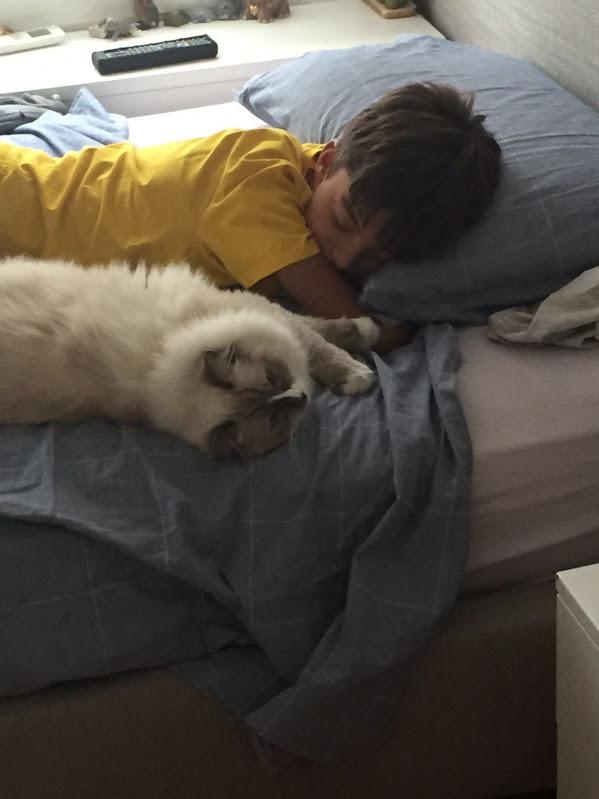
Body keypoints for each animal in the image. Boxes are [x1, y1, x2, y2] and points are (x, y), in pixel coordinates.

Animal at [0, 257, 379, 458]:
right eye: (274, 420)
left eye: (273, 376)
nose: (300, 396)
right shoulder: (275, 320)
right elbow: (324, 344)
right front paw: (360, 373)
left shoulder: (266, 312)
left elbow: (322, 332)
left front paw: (368, 328)